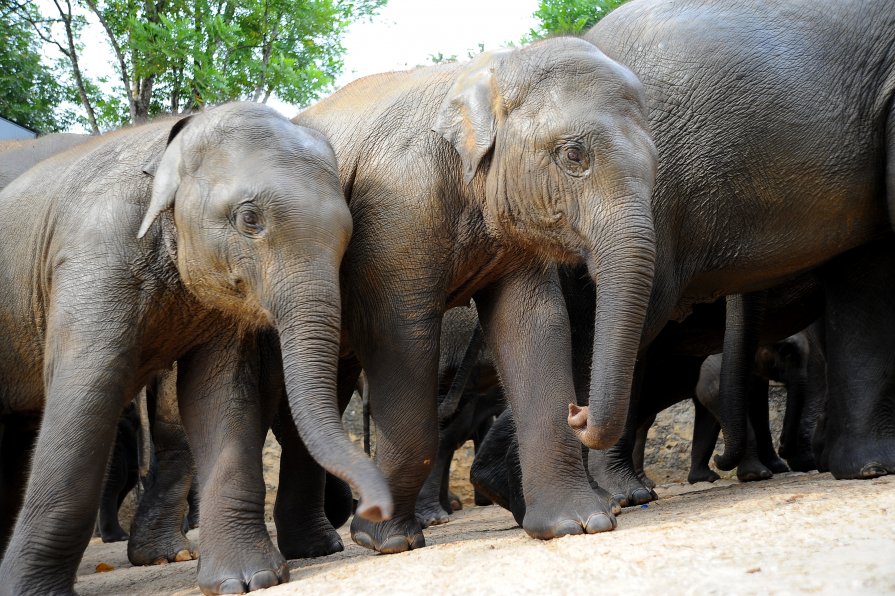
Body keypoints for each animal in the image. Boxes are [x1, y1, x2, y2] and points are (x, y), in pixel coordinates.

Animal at [0, 100, 392, 592]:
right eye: (249, 219)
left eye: (348, 234)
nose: (374, 508)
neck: (173, 140)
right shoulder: (93, 258)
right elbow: (86, 392)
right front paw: (30, 591)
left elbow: (217, 395)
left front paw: (248, 580)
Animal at [294, 35, 656, 552]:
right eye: (574, 155)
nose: (579, 411)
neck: (487, 76)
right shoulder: (396, 211)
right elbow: (404, 339)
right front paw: (385, 539)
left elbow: (533, 326)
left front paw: (577, 524)